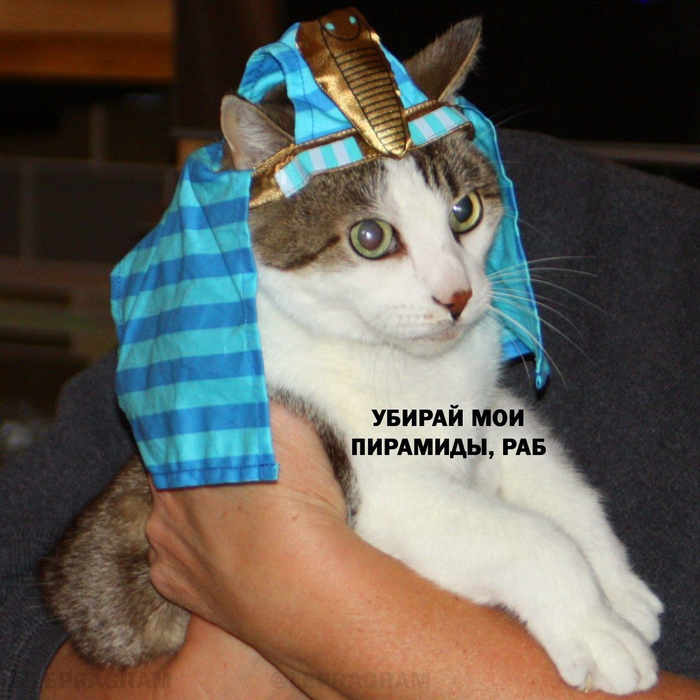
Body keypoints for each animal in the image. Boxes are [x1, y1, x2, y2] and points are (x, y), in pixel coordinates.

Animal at [41, 18, 663, 695]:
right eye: (371, 238)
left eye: (465, 210)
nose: (457, 296)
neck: (393, 357)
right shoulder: (381, 496)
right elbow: (529, 537)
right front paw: (593, 627)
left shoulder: (488, 409)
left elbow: (557, 480)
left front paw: (617, 587)